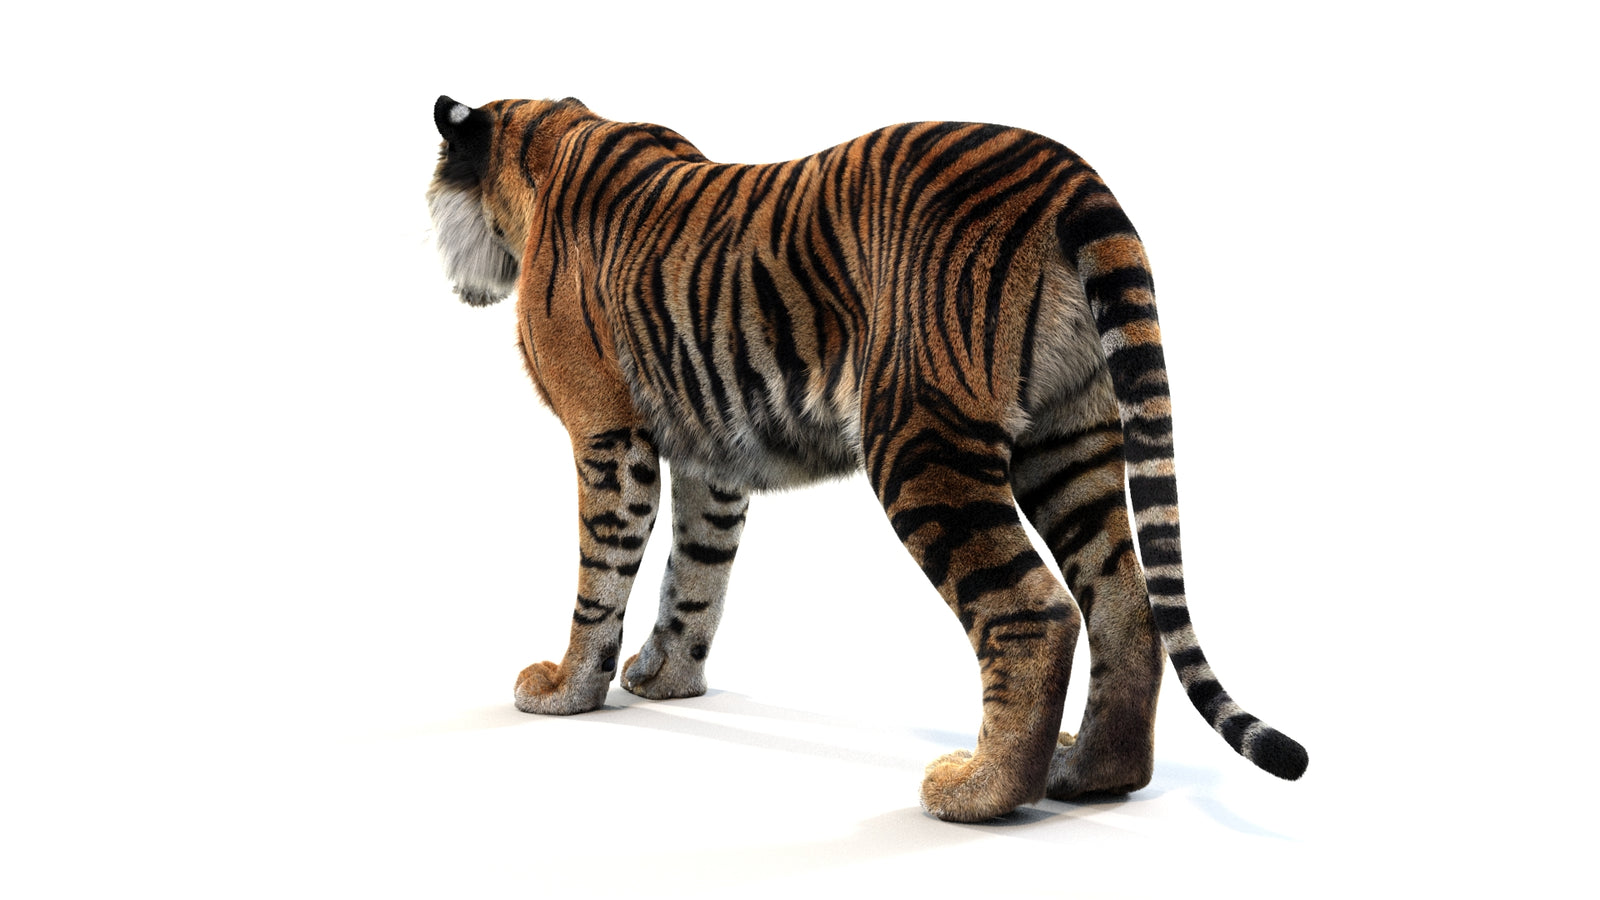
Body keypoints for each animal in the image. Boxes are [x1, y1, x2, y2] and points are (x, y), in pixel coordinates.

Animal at [426, 94, 1307, 823]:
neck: (545, 138)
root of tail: (1070, 177)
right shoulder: (711, 457)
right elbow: (695, 574)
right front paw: (666, 678)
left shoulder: (609, 434)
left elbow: (600, 576)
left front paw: (565, 689)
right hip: (1070, 441)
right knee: (1124, 598)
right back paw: (1092, 774)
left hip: (919, 436)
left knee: (1037, 612)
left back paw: (978, 792)